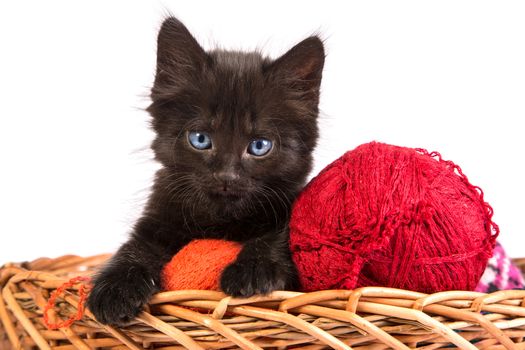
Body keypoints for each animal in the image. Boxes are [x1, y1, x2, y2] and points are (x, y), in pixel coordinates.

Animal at [86, 17, 324, 326]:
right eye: (200, 139)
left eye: (259, 145)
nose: (226, 176)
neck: (220, 220)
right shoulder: (156, 219)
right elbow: (134, 248)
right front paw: (115, 288)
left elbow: (279, 236)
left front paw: (253, 270)